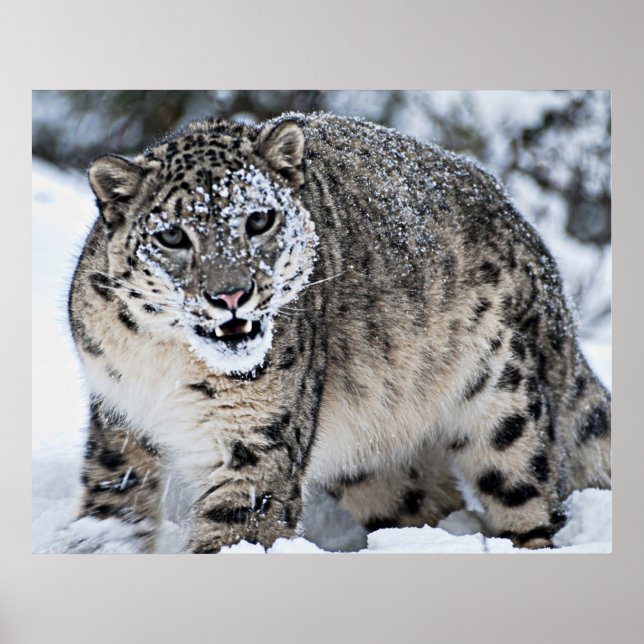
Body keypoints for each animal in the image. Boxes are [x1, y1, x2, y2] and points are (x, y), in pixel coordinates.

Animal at [64, 111, 611, 553]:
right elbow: (114, 494)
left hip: (504, 400)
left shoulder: (257, 444)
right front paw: (101, 543)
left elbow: (237, 528)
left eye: (259, 220)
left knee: (530, 495)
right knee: (431, 501)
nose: (231, 295)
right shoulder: (119, 414)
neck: (170, 365)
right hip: (377, 465)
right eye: (172, 235)